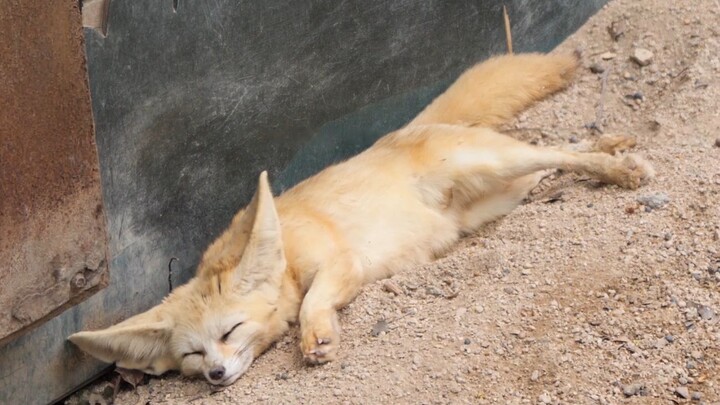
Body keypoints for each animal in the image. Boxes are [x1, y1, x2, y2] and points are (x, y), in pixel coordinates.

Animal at [69, 51, 653, 386]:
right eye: (192, 355)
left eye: (230, 331)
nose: (213, 375)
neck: (286, 254)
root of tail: (409, 129)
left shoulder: (340, 261)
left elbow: (312, 302)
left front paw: (316, 335)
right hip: (501, 195)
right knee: (557, 150)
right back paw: (611, 146)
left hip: (494, 163)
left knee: (554, 150)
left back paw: (618, 167)